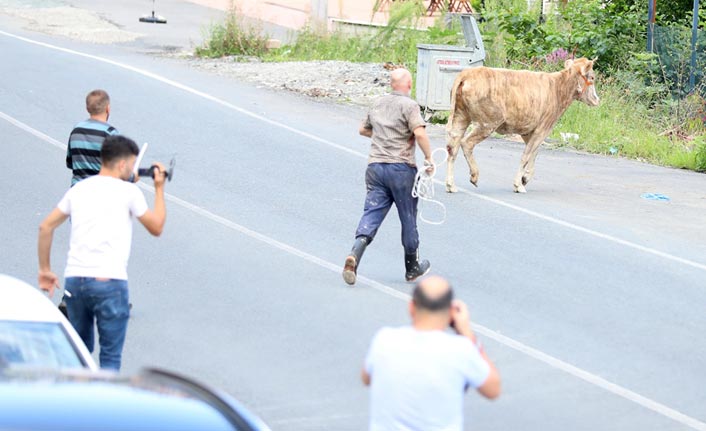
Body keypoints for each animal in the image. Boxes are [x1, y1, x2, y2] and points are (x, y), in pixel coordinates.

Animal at [442, 57, 596, 194]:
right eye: (593, 77)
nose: (597, 99)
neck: (558, 87)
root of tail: (467, 74)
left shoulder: (528, 131)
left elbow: (533, 154)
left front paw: (525, 178)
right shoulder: (543, 128)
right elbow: (526, 156)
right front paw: (518, 185)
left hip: (461, 116)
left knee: (452, 147)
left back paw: (451, 185)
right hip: (487, 122)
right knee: (466, 143)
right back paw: (474, 176)